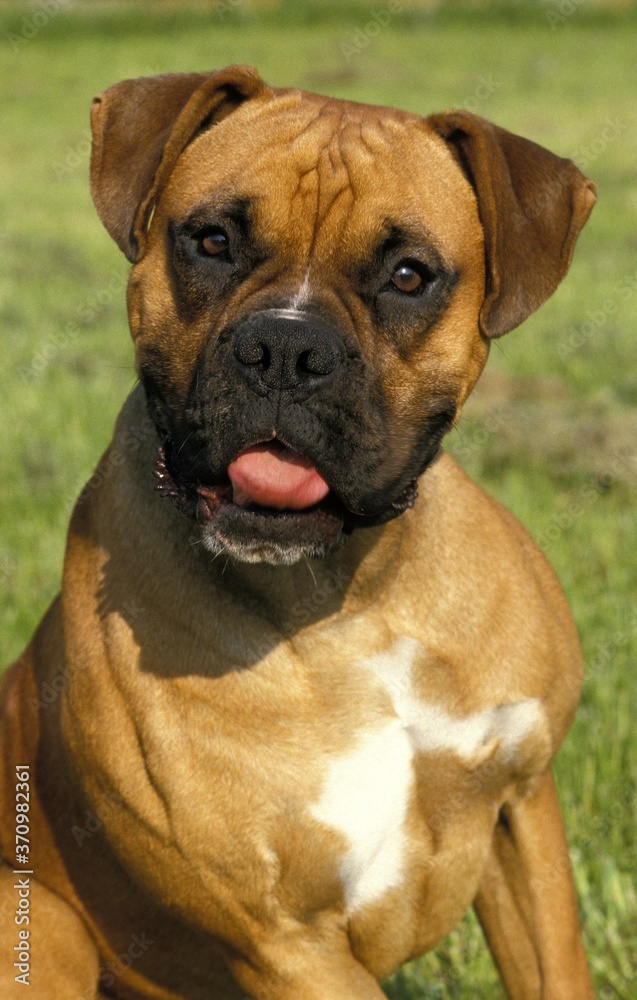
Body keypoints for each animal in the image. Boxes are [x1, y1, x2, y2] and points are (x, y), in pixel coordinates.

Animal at [0, 66, 596, 996]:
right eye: (210, 240)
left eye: (408, 275)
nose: (285, 349)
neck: (350, 601)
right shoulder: (286, 943)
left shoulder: (520, 808)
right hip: (37, 919)